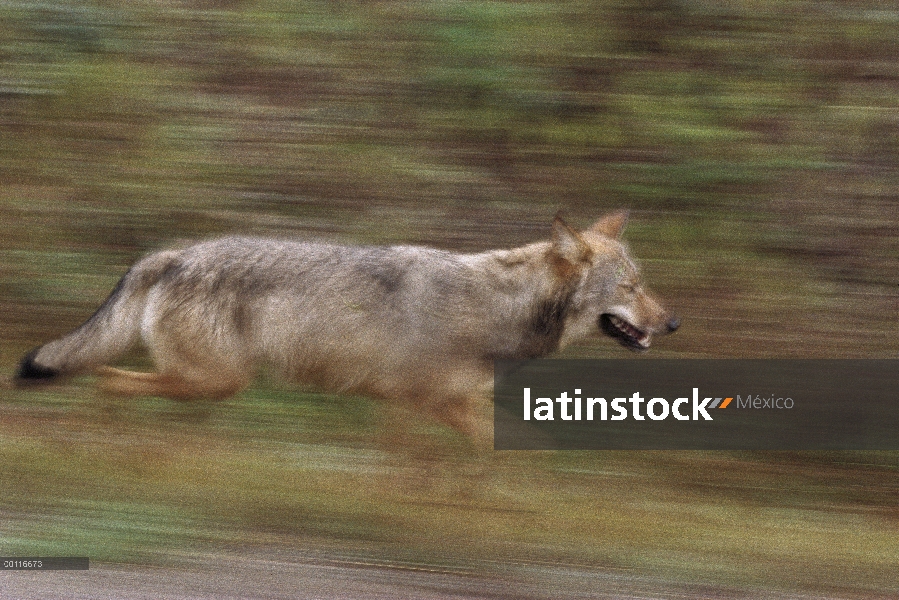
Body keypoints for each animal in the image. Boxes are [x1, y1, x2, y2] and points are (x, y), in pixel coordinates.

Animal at [15, 212, 676, 446]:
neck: (494, 307)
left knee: (118, 383)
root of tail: (175, 253)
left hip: (211, 386)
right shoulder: (416, 403)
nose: (673, 322)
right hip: (216, 381)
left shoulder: (428, 405)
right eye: (629, 287)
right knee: (108, 377)